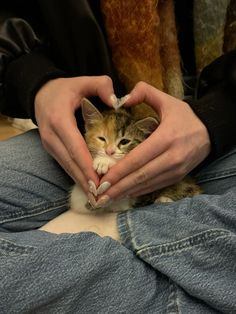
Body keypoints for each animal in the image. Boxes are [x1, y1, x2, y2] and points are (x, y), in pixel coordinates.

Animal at [69, 98, 201, 213]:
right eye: (101, 138)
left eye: (124, 141)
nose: (109, 152)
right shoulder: (79, 202)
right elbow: (80, 200)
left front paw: (104, 162)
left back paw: (164, 199)